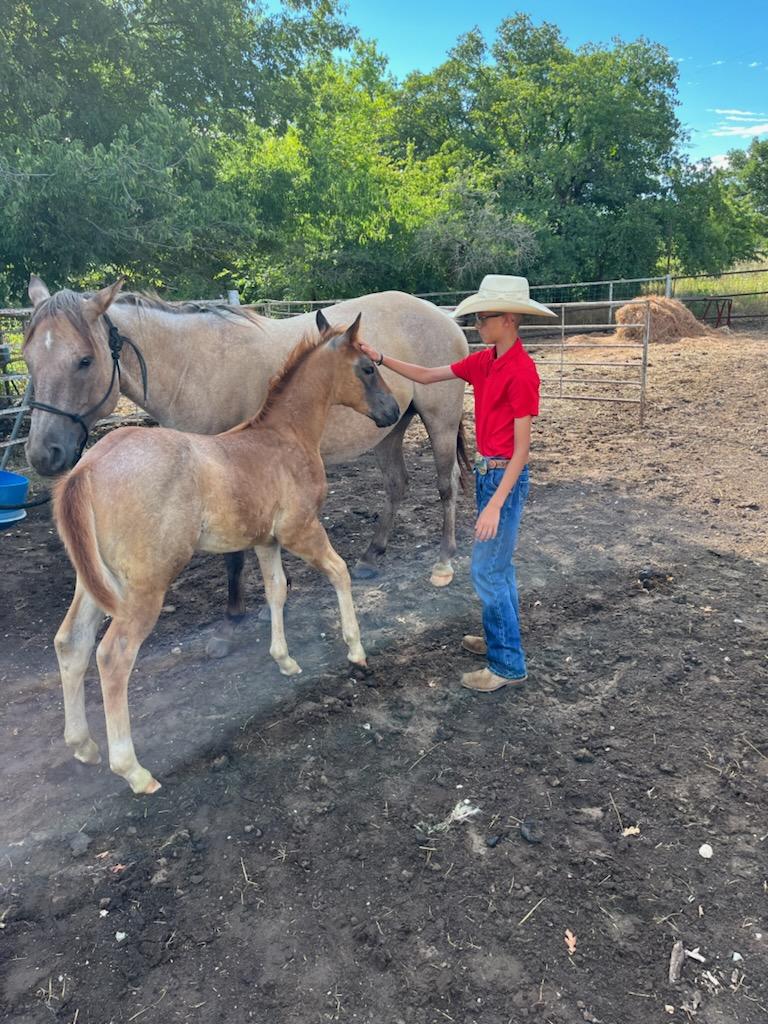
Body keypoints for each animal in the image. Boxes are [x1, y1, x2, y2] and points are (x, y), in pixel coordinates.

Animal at [22, 276, 468, 618]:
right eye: (28, 360)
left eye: (84, 361)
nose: (44, 454)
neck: (195, 367)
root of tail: (443, 316)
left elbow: (235, 551)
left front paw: (236, 609)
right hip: (389, 429)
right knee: (397, 486)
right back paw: (372, 556)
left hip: (440, 421)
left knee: (446, 486)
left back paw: (445, 557)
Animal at [52, 311, 403, 790]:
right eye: (367, 368)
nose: (393, 411)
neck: (285, 434)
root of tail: (85, 468)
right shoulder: (300, 531)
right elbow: (340, 572)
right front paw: (356, 649)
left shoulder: (266, 540)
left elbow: (276, 592)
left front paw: (284, 660)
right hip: (144, 585)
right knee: (113, 656)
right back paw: (133, 770)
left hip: (97, 580)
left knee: (72, 642)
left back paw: (83, 745)